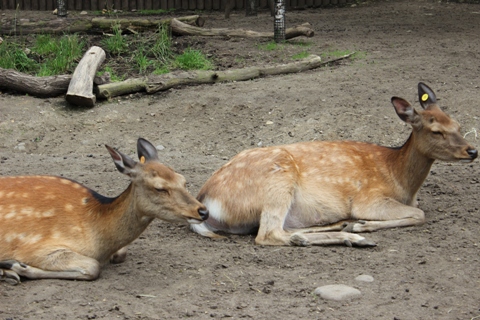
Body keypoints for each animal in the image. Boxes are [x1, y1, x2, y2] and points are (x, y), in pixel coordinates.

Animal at [0, 139, 209, 284]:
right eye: (159, 188)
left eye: (183, 180)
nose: (203, 211)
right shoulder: (35, 247)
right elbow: (93, 267)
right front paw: (15, 266)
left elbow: (120, 254)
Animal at [190, 83, 476, 248]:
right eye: (436, 131)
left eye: (458, 124)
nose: (472, 150)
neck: (402, 183)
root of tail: (205, 200)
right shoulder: (369, 198)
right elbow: (419, 214)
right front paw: (364, 225)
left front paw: (357, 224)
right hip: (277, 181)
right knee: (268, 234)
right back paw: (354, 237)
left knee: (281, 228)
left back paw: (339, 226)